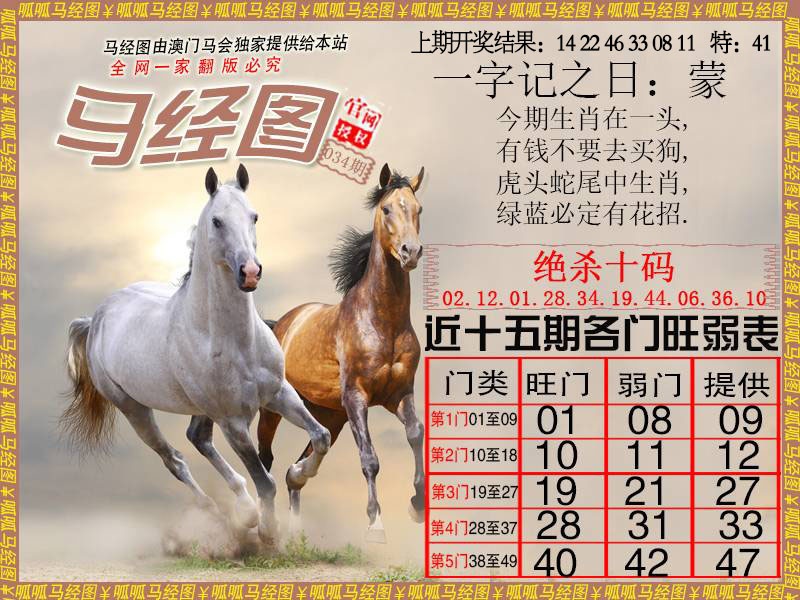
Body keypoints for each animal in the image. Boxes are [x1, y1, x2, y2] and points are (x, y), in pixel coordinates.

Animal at [63, 165, 331, 543]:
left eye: (254, 216)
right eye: (217, 221)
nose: (250, 272)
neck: (235, 341)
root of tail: (96, 317)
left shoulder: (278, 393)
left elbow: (320, 437)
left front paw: (298, 474)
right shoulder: (233, 422)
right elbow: (265, 480)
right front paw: (268, 531)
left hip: (200, 409)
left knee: (197, 438)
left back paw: (243, 509)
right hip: (134, 409)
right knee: (174, 459)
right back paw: (225, 516)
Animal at [256, 163, 425, 543]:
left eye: (418, 209)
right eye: (386, 209)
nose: (410, 252)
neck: (382, 321)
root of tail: (280, 324)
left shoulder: (399, 395)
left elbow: (415, 434)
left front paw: (417, 505)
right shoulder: (357, 397)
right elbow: (370, 458)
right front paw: (376, 524)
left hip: (329, 414)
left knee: (298, 466)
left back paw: (297, 510)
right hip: (275, 409)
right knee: (265, 458)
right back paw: (264, 524)